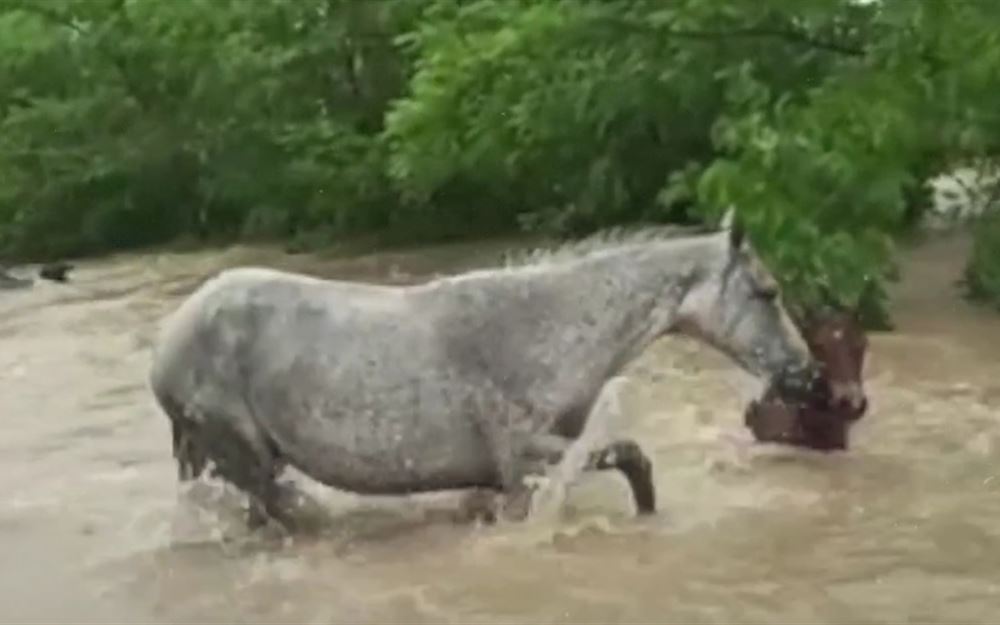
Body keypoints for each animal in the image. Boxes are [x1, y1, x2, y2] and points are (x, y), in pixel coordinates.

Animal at [148, 213, 820, 528]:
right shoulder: (522, 456)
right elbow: (631, 456)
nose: (808, 376)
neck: (547, 329)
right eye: (768, 292)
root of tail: (168, 346)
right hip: (246, 462)